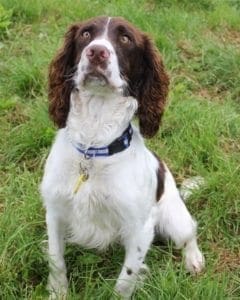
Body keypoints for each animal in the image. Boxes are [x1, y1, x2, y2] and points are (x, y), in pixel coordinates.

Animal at [39, 17, 204, 300]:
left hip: (174, 219)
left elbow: (126, 278)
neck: (93, 147)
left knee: (189, 233)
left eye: (126, 39)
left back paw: (194, 259)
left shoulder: (140, 226)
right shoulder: (55, 211)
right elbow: (55, 260)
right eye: (86, 34)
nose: (97, 52)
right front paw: (58, 292)